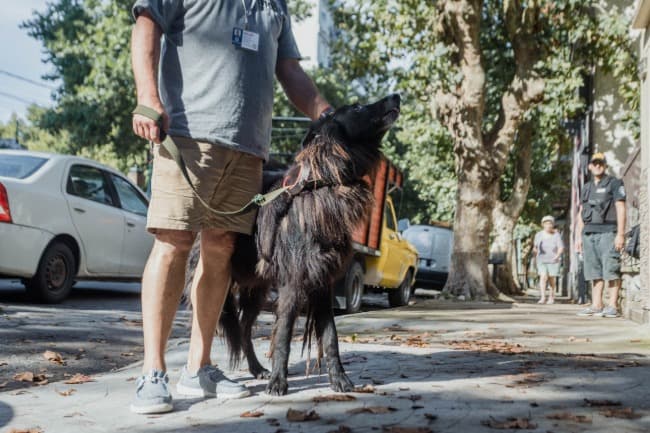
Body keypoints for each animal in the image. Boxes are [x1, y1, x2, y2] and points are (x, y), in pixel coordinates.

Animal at [182, 94, 402, 394]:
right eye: (357, 107)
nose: (397, 96)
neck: (322, 184)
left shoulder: (322, 283)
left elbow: (331, 338)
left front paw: (339, 380)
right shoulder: (293, 283)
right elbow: (284, 334)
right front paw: (279, 381)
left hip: (256, 289)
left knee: (244, 327)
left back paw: (256, 369)